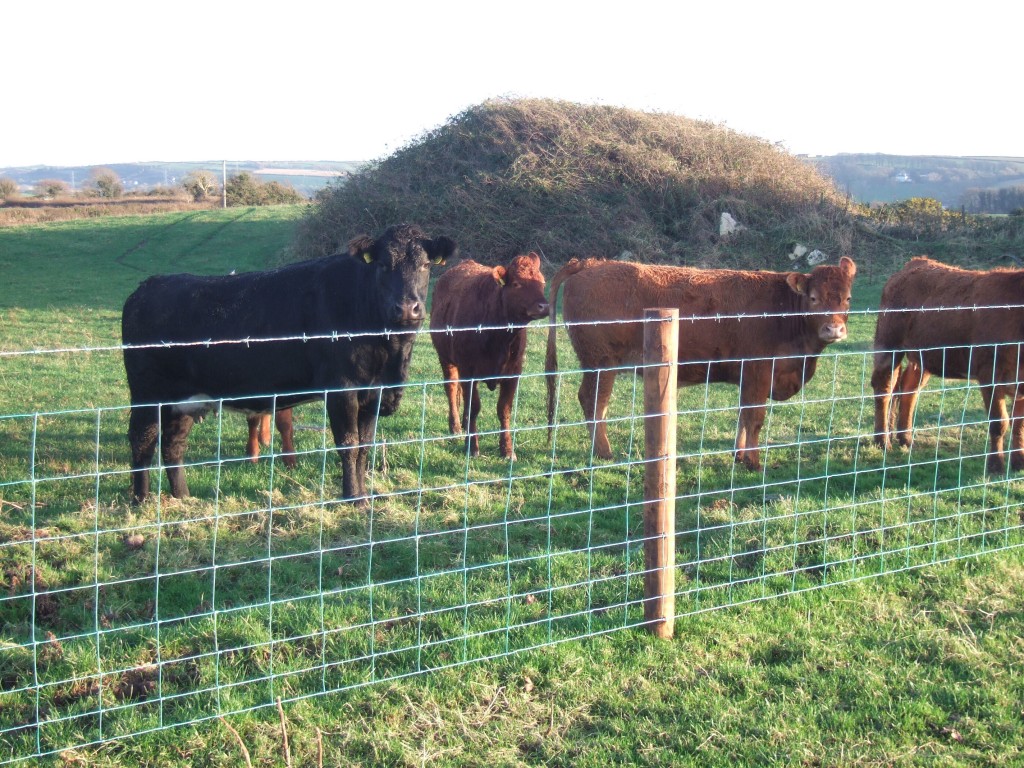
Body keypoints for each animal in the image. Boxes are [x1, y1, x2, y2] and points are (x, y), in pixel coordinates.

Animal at [122, 223, 457, 506]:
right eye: (384, 265)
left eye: (425, 265)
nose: (407, 308)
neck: (390, 353)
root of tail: (146, 287)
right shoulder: (342, 389)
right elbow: (348, 444)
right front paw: (353, 498)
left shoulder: (372, 392)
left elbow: (365, 446)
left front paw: (363, 494)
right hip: (147, 393)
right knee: (143, 441)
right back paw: (141, 501)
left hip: (185, 400)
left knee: (173, 445)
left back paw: (183, 498)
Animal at [429, 252, 550, 460]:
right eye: (516, 284)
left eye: (542, 282)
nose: (544, 306)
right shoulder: (469, 370)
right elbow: (474, 407)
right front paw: (472, 446)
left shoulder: (513, 372)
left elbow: (504, 409)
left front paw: (507, 450)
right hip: (446, 358)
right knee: (451, 389)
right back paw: (456, 427)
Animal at [545, 256, 857, 469]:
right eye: (813, 298)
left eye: (847, 298)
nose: (834, 329)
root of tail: (590, 263)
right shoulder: (758, 372)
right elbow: (755, 419)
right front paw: (754, 462)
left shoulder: (747, 379)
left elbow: (742, 417)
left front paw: (739, 454)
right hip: (601, 363)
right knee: (593, 401)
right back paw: (603, 451)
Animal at [871, 256, 1024, 473]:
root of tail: (916, 262)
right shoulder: (989, 374)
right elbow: (999, 423)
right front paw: (995, 466)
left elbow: (1019, 424)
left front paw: (1019, 463)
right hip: (888, 344)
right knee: (884, 388)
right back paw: (882, 441)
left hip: (923, 356)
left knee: (908, 389)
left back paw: (905, 438)